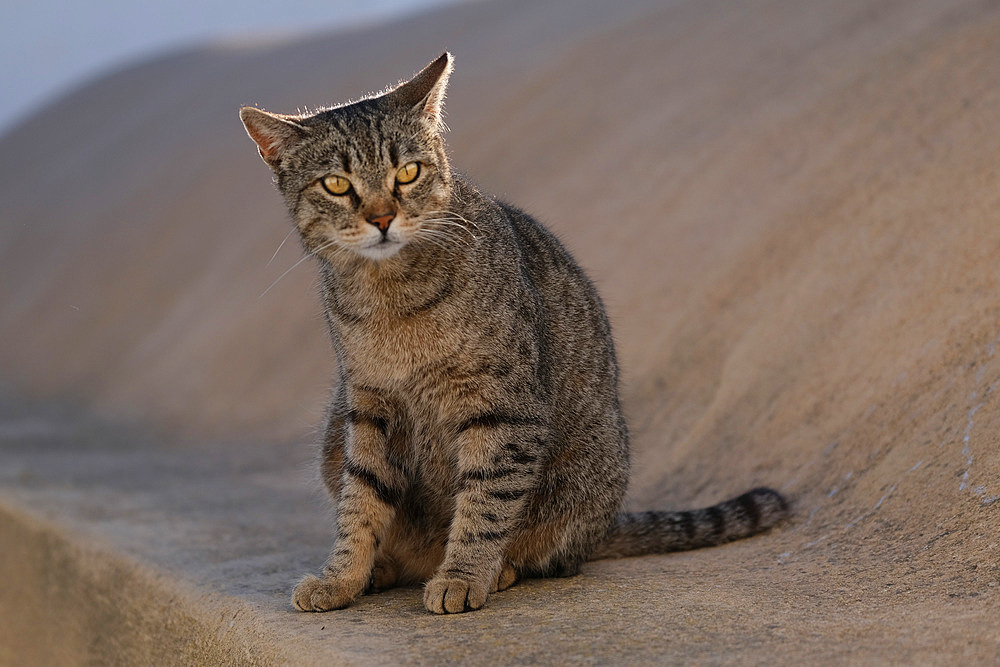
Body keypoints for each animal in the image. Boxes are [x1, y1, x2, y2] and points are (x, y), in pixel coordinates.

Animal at [240, 53, 788, 616]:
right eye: (336, 185)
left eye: (408, 173)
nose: (382, 218)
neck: (392, 300)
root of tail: (607, 524)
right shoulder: (369, 406)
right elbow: (360, 503)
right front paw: (342, 577)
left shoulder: (501, 407)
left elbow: (485, 502)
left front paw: (462, 575)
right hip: (334, 433)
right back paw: (386, 569)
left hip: (585, 473)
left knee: (554, 554)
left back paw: (496, 569)